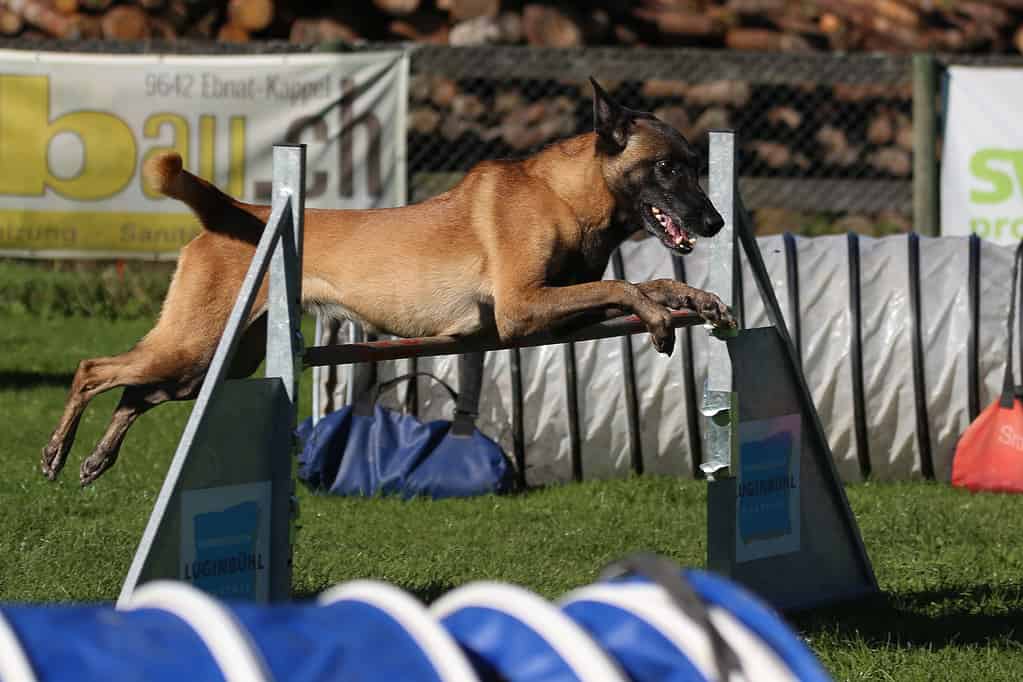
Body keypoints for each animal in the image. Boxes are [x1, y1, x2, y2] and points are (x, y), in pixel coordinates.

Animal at [41, 78, 736, 484]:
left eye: (699, 166)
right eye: (667, 168)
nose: (716, 221)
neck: (566, 196)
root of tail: (236, 211)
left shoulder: (555, 309)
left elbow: (652, 285)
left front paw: (700, 300)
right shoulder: (522, 309)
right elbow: (626, 289)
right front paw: (659, 322)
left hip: (215, 362)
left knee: (136, 393)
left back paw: (97, 459)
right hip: (193, 344)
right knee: (93, 369)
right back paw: (56, 452)